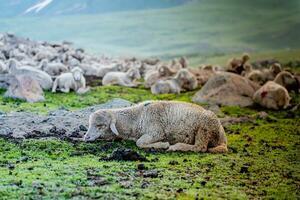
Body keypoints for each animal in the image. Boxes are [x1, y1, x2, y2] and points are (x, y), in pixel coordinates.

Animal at [82, 101, 227, 154]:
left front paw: (163, 145)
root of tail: (223, 139)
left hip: (205, 126)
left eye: (100, 126)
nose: (86, 137)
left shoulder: (157, 132)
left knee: (200, 147)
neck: (136, 117)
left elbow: (139, 142)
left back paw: (176, 147)